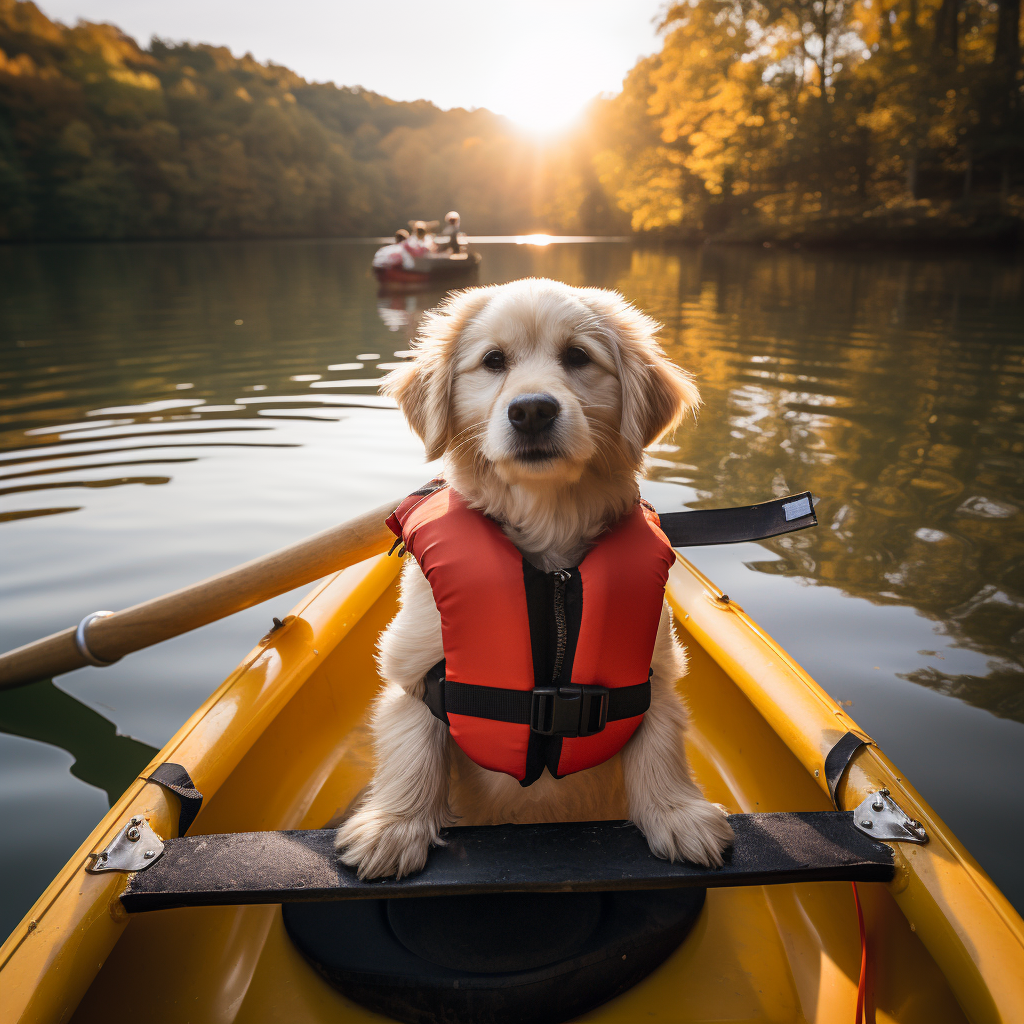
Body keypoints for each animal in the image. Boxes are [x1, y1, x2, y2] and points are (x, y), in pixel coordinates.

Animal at [337, 278, 737, 880]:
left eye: (577, 356)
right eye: (493, 361)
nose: (531, 411)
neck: (551, 554)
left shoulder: (656, 677)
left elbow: (659, 748)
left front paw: (678, 815)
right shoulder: (413, 674)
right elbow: (413, 751)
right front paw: (394, 827)